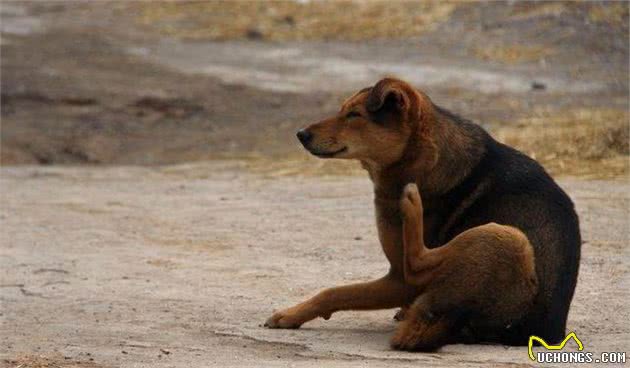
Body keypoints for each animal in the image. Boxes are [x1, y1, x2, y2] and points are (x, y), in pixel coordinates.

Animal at [262, 77, 584, 350]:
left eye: (354, 115)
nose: (301, 134)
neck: (420, 155)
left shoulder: (400, 280)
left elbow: (334, 292)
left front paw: (290, 314)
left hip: (505, 236)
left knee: (418, 262)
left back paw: (411, 204)